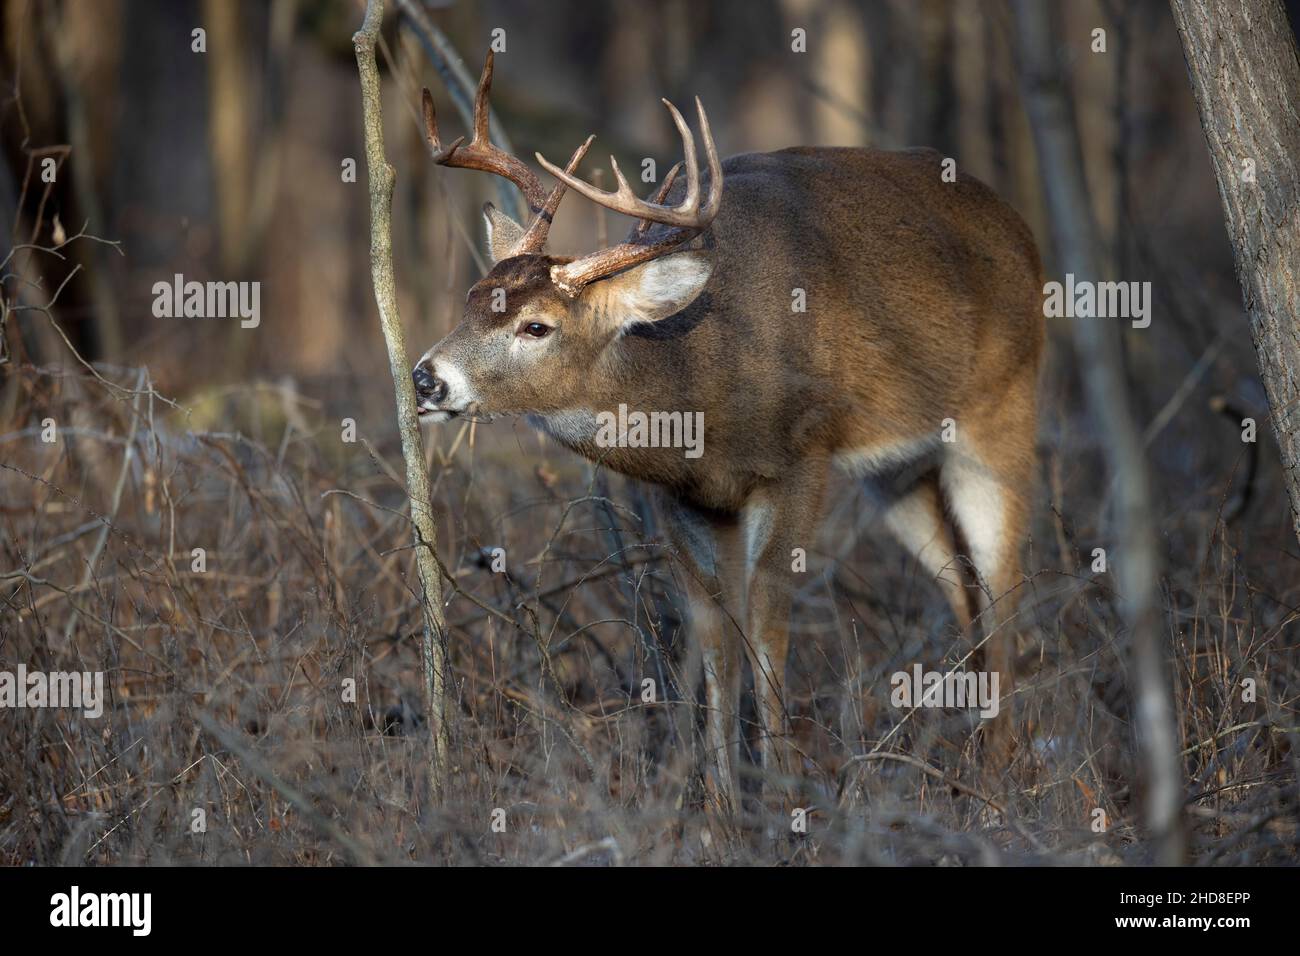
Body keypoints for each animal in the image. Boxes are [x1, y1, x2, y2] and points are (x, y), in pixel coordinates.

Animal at [416, 52, 1045, 811]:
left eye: (536, 326)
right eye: (474, 300)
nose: (426, 378)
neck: (700, 394)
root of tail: (1019, 230)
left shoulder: (803, 454)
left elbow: (768, 622)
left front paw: (777, 793)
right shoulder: (689, 499)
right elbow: (715, 632)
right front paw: (721, 805)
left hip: (1000, 405)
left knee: (1004, 576)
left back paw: (1001, 774)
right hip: (894, 470)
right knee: (960, 584)